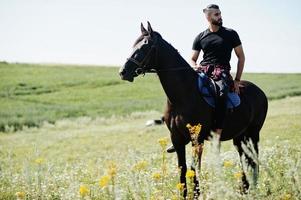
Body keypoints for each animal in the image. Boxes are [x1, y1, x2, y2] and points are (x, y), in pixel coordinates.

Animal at [118, 21, 266, 197]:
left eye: (145, 46)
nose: (123, 72)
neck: (183, 95)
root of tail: (260, 92)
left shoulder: (197, 140)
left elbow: (194, 169)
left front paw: (196, 194)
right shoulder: (177, 139)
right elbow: (182, 170)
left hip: (253, 133)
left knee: (253, 159)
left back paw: (251, 189)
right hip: (240, 137)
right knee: (245, 159)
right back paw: (244, 189)